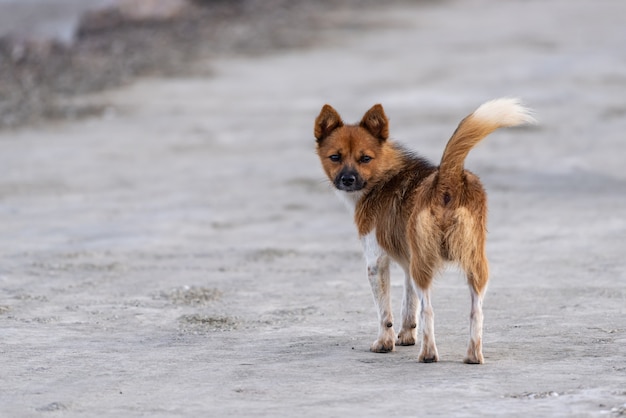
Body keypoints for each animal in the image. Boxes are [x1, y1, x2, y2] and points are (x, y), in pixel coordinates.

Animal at [312, 98, 532, 362]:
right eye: (335, 157)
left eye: (365, 158)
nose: (348, 179)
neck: (383, 177)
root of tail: (447, 179)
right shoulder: (410, 261)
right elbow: (409, 304)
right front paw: (406, 335)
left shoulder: (377, 263)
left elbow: (385, 312)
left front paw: (384, 343)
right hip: (472, 264)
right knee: (475, 312)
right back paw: (473, 356)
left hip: (424, 267)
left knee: (429, 311)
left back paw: (428, 354)